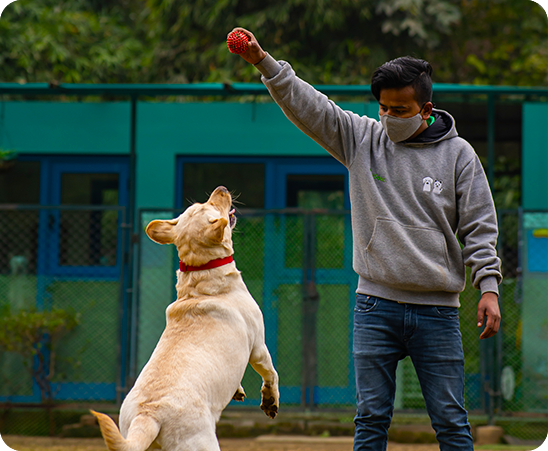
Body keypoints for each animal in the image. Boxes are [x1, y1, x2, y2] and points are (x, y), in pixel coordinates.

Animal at [91, 186, 279, 451]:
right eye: (212, 206)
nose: (221, 189)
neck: (200, 279)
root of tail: (149, 415)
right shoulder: (258, 346)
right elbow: (270, 373)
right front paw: (270, 401)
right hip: (201, 442)